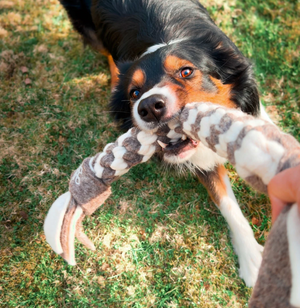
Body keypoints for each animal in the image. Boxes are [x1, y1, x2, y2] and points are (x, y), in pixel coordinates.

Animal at [58, 0, 272, 286]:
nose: (149, 106)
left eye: (186, 71)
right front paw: (252, 260)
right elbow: (227, 204)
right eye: (135, 93)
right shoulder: (202, 162)